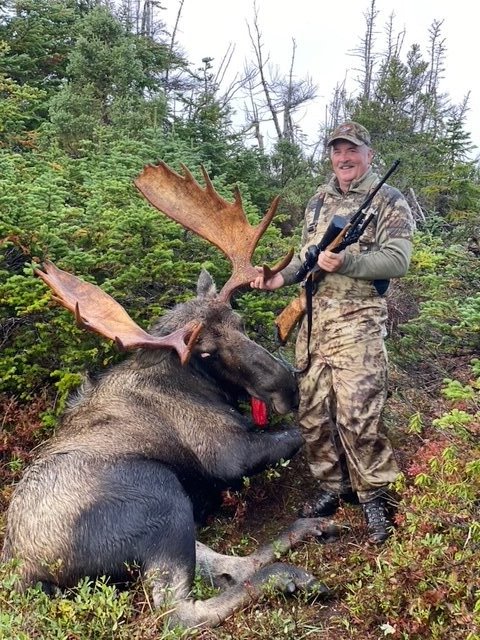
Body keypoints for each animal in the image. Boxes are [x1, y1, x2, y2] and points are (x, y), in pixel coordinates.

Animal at [1, 162, 338, 629]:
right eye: (207, 352)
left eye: (239, 322)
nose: (287, 385)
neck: (197, 381)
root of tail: (26, 576)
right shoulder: (228, 453)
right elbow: (299, 433)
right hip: (160, 495)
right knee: (179, 609)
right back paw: (289, 576)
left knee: (225, 565)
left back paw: (307, 533)